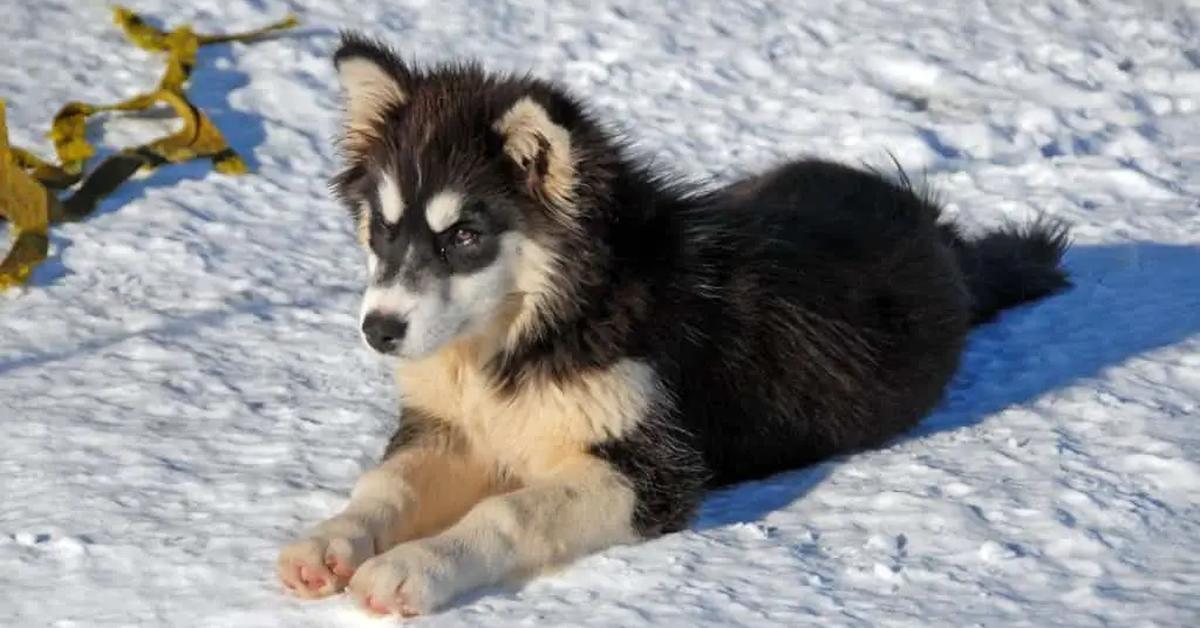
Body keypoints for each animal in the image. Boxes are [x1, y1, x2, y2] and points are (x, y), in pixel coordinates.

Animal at [276, 31, 1075, 614]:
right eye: (382, 230)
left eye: (464, 236)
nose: (379, 330)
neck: (535, 329)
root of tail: (933, 226)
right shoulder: (449, 425)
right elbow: (386, 486)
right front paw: (331, 540)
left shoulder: (655, 468)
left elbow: (510, 513)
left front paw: (415, 565)